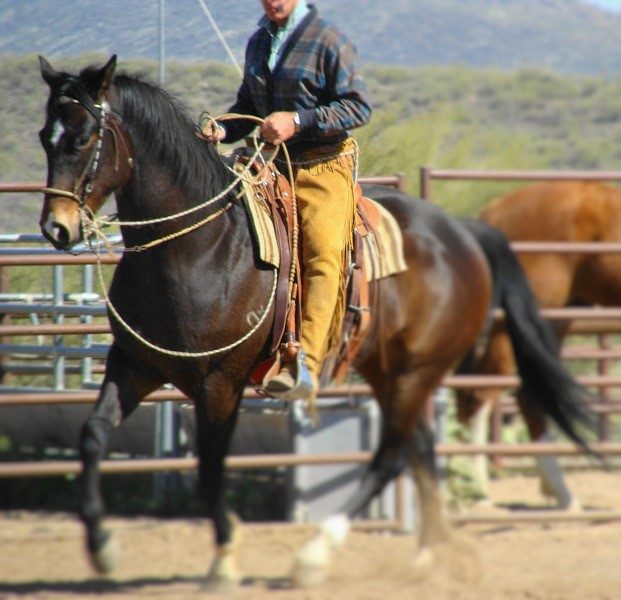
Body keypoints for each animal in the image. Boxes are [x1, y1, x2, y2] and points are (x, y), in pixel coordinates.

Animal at [37, 57, 592, 592]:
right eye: (45, 136)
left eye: (83, 137)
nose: (55, 228)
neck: (201, 247)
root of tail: (463, 231)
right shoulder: (133, 365)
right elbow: (92, 435)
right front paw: (103, 547)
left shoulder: (221, 385)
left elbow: (211, 472)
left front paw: (225, 561)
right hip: (390, 370)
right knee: (417, 449)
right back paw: (431, 558)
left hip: (418, 370)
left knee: (391, 455)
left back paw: (316, 556)